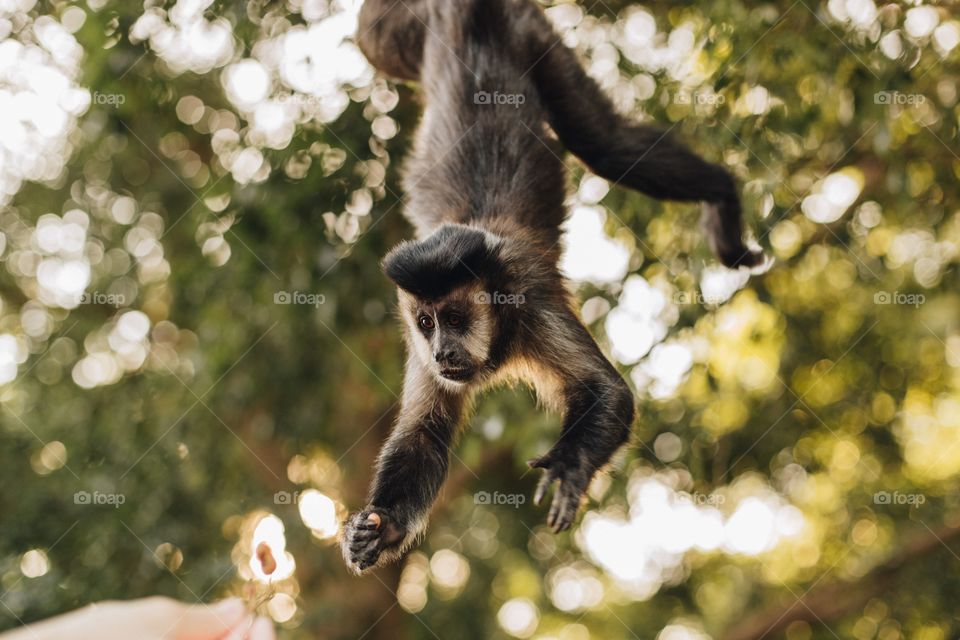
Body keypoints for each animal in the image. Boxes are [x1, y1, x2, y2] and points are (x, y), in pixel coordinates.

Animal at [341, 0, 764, 574]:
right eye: (427, 322)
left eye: (455, 319)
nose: (442, 350)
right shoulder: (417, 342)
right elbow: (422, 432)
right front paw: (381, 527)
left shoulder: (531, 296)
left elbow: (609, 392)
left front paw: (570, 467)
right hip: (404, 37)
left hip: (528, 32)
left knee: (604, 144)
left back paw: (721, 194)